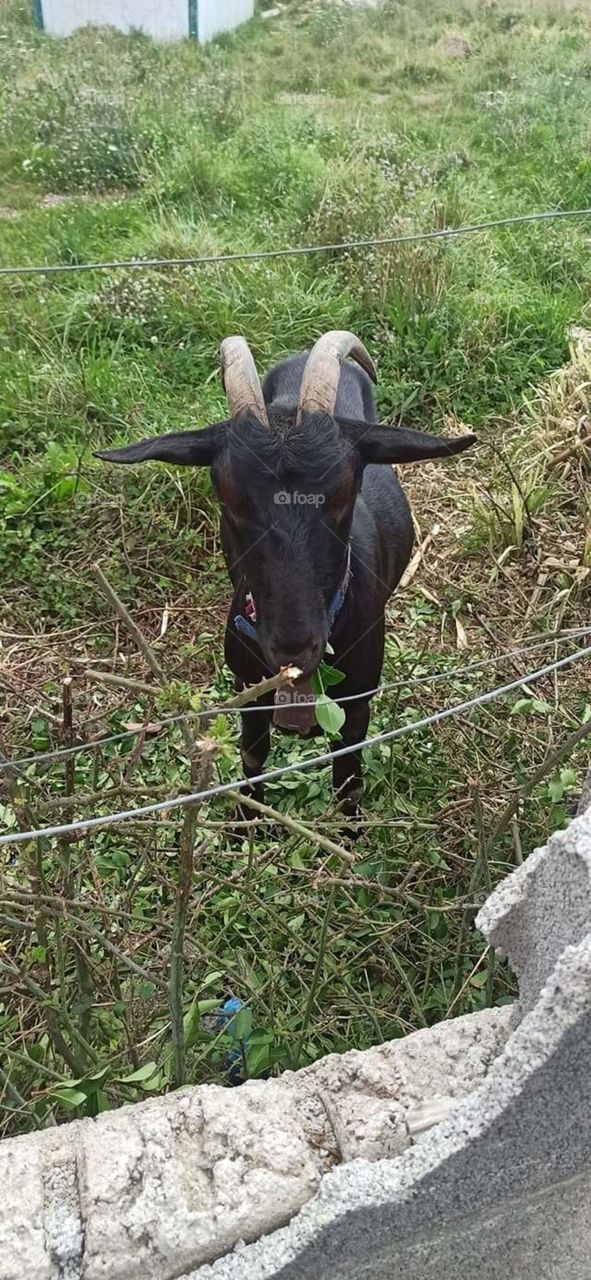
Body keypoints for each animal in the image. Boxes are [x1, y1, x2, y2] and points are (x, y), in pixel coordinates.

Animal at [97, 335, 475, 814]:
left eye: (345, 492)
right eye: (226, 497)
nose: (293, 647)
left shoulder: (356, 707)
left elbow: (348, 784)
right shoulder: (249, 690)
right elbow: (252, 758)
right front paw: (246, 820)